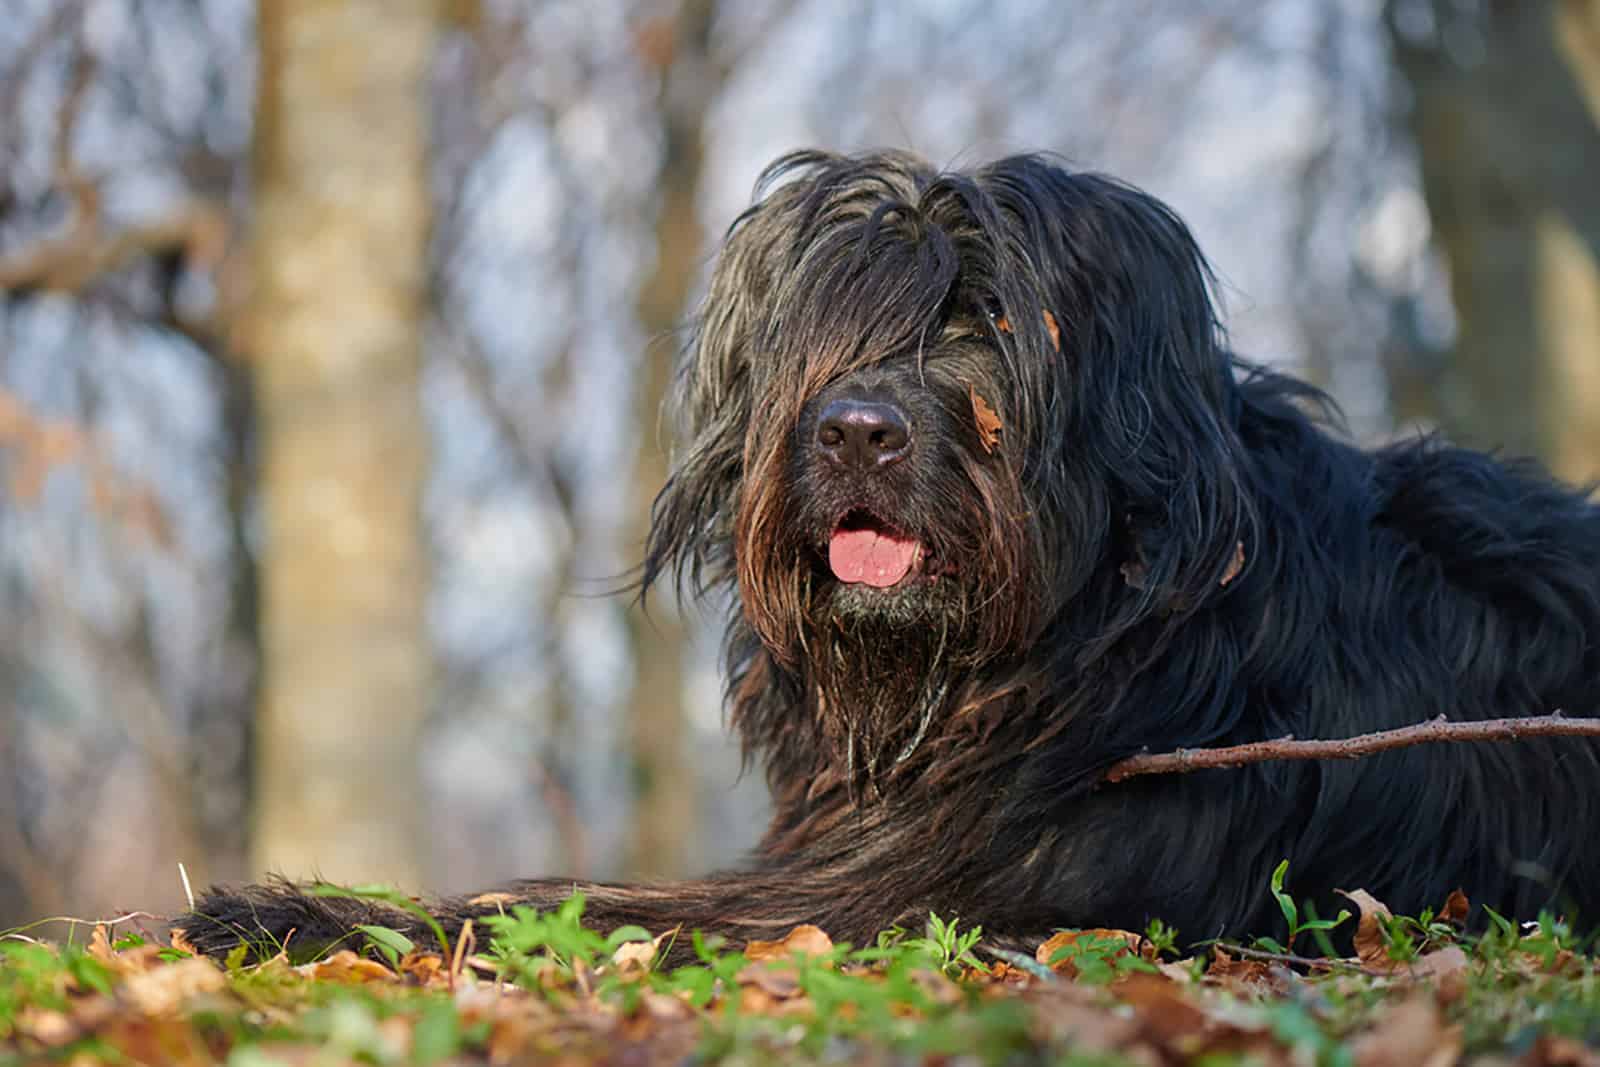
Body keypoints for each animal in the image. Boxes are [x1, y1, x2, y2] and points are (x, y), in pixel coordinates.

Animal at [178, 147, 1600, 959]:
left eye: (989, 322)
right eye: (823, 326)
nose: (856, 430)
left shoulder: (932, 891)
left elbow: (576, 901)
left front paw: (284, 911)